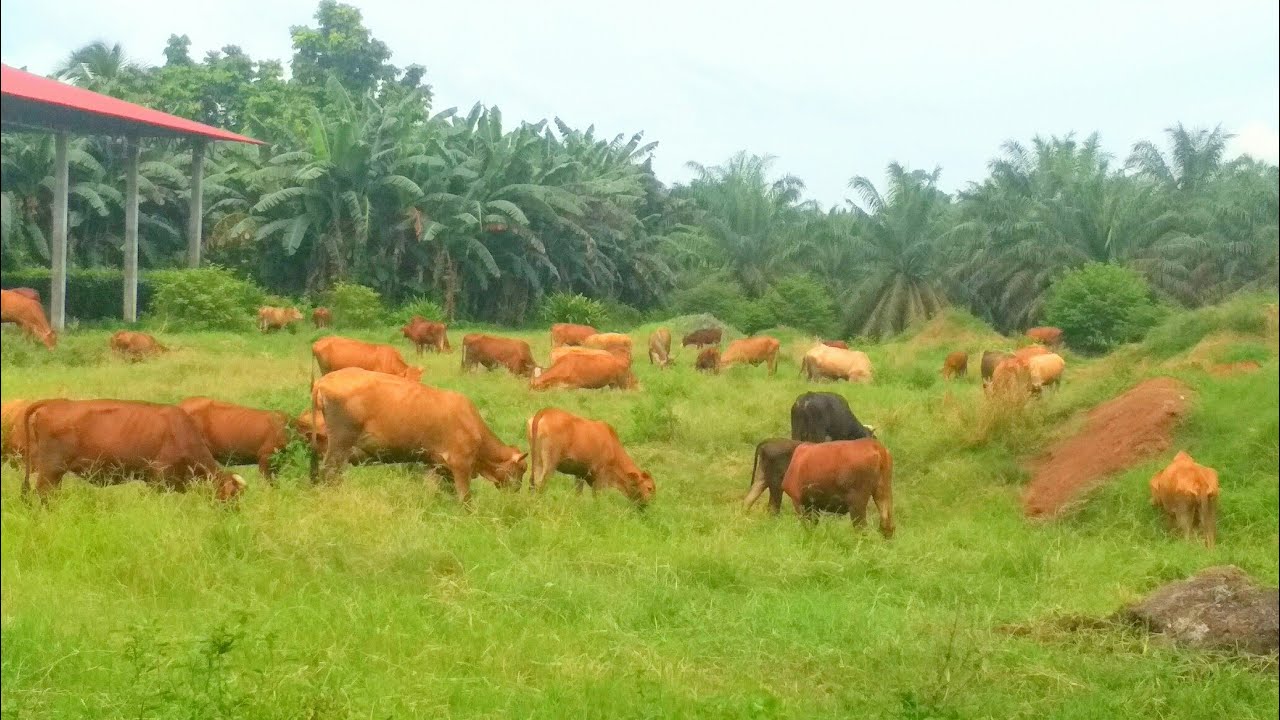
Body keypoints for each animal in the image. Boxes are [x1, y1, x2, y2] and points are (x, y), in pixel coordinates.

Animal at [311, 367, 526, 502]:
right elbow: (465, 499)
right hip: (340, 444)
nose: (517, 490)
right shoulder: (460, 465)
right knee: (330, 472)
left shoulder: (438, 466)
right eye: (522, 469)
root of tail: (323, 380)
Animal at [526, 407, 655, 505]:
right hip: (550, 464)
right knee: (541, 485)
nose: (650, 505)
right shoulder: (600, 476)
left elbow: (578, 493)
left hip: (537, 461)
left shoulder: (579, 474)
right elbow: (597, 497)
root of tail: (546, 411)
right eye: (650, 488)